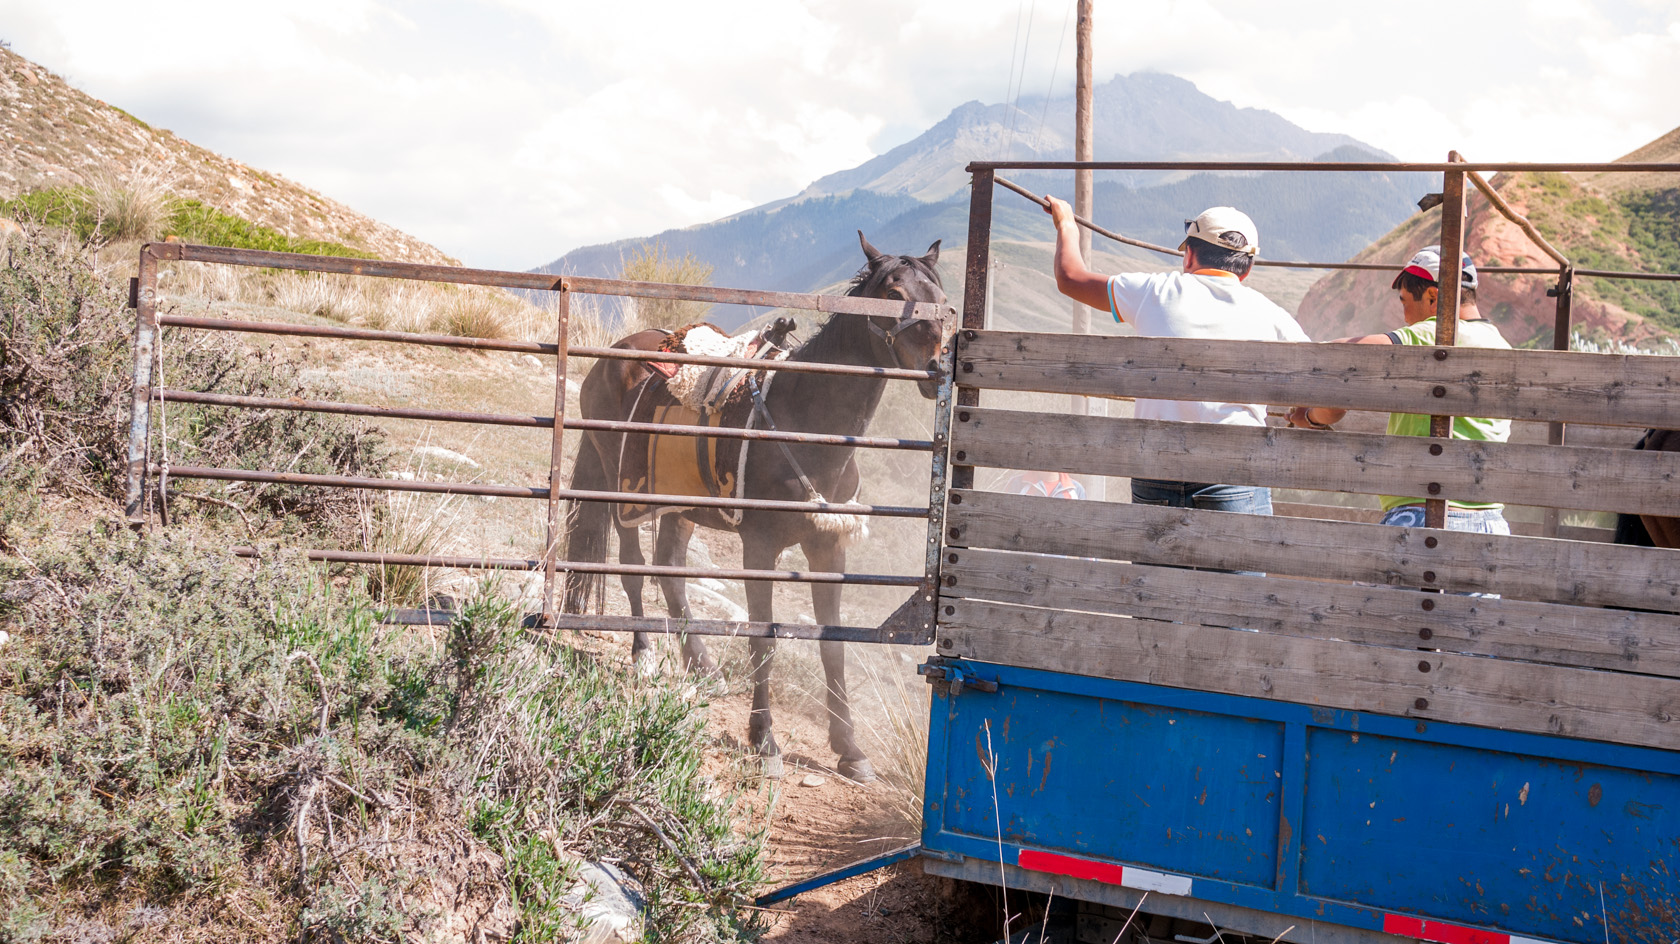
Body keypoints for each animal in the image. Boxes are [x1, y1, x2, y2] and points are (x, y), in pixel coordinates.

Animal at [554, 231, 940, 776]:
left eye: (942, 298)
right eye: (892, 292)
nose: (937, 366)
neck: (805, 420)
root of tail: (614, 355)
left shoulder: (828, 548)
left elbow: (834, 644)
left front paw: (850, 749)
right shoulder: (759, 548)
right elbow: (765, 638)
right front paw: (765, 740)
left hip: (678, 508)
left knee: (671, 571)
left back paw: (702, 666)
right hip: (623, 492)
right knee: (633, 567)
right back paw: (644, 655)